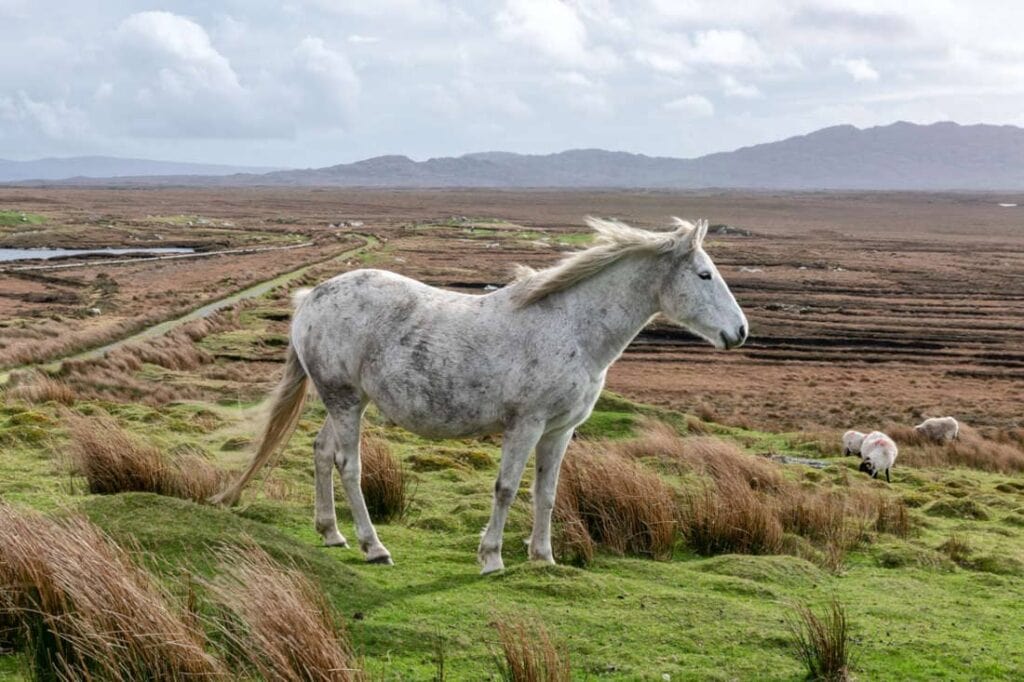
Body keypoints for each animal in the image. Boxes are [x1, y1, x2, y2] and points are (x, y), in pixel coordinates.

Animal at [212, 217, 748, 573]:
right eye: (704, 275)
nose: (740, 332)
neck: (572, 326)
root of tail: (312, 297)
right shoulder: (526, 424)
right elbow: (506, 488)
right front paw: (491, 557)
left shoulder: (559, 431)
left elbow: (547, 492)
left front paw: (543, 557)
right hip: (344, 402)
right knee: (348, 465)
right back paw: (373, 546)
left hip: (348, 401)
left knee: (322, 452)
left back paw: (331, 533)